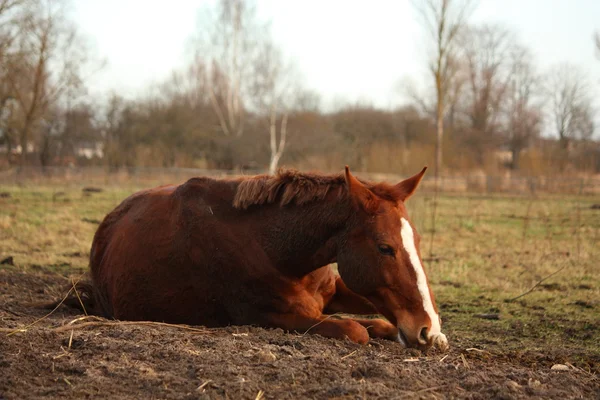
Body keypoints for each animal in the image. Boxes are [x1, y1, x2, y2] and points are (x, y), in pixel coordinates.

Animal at [68, 166, 448, 350]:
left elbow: (379, 321)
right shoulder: (266, 316)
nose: (426, 329)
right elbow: (356, 330)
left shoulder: (339, 288)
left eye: (415, 240)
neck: (276, 251)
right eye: (385, 247)